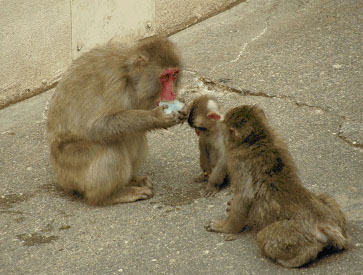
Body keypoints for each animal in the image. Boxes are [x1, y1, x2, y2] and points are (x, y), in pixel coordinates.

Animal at [47, 35, 185, 206]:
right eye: (165, 76)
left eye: (175, 74)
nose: (172, 92)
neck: (129, 76)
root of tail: (59, 178)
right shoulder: (113, 81)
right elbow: (97, 127)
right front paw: (156, 117)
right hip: (71, 166)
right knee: (109, 146)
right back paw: (111, 195)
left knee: (135, 134)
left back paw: (131, 181)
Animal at [206, 105, 352, 268]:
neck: (258, 138)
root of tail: (325, 223)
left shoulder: (238, 163)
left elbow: (244, 197)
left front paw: (225, 227)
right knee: (324, 197)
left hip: (294, 234)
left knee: (264, 237)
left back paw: (294, 258)